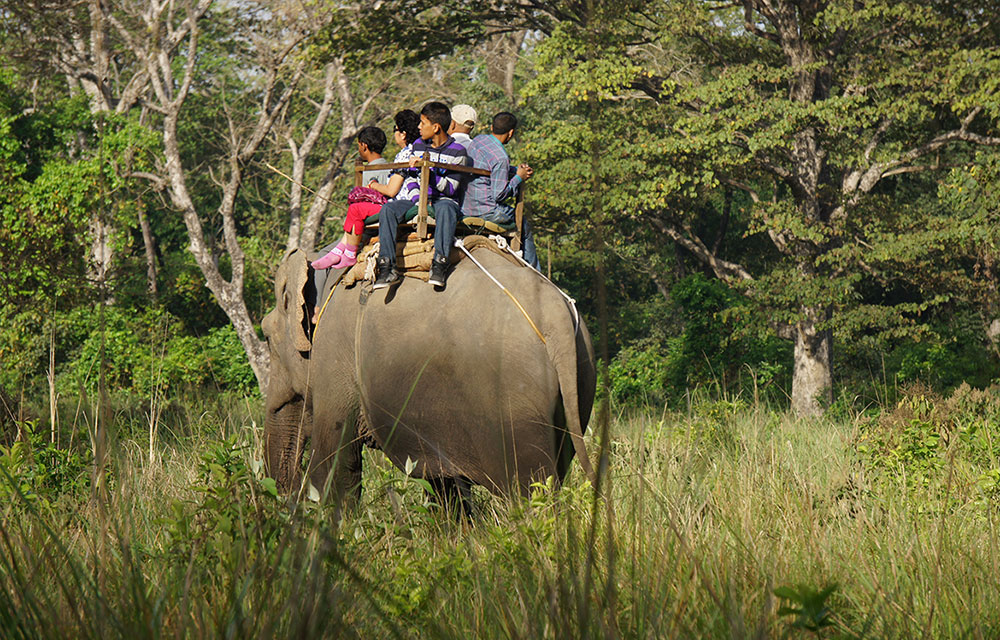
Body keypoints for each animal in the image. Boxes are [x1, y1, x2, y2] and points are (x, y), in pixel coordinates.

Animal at [262, 248, 596, 508]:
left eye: (266, 336)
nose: (284, 497)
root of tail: (557, 316)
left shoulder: (334, 353)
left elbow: (336, 464)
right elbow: (444, 485)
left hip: (516, 405)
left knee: (529, 493)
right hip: (577, 385)